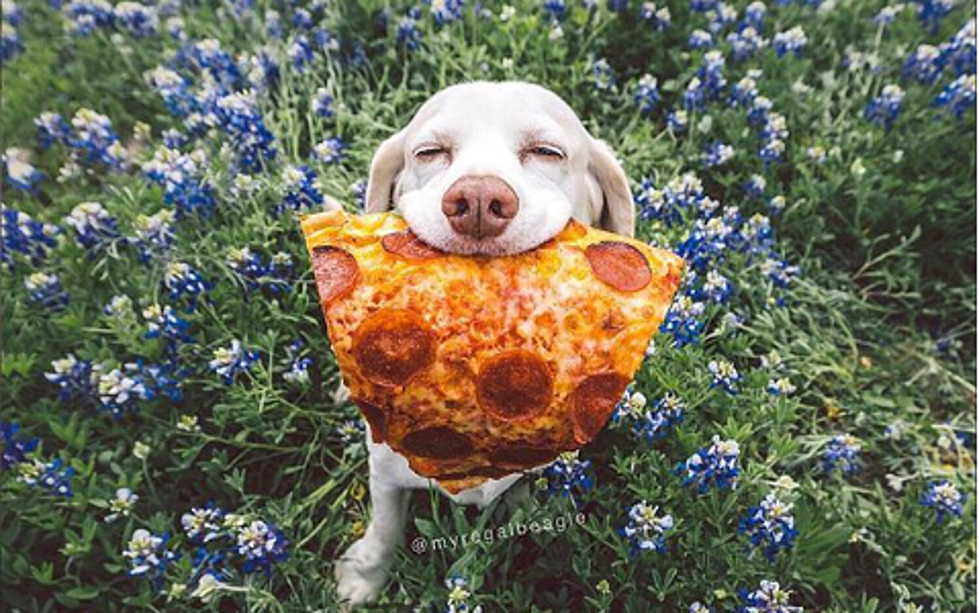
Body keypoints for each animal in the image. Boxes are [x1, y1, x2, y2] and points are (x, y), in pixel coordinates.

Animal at [334, 81, 632, 608]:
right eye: (429, 152)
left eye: (546, 152)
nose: (476, 200)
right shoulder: (385, 469)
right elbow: (386, 525)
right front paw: (366, 576)